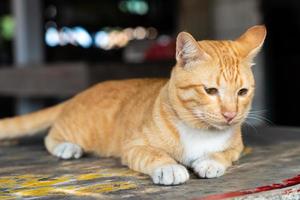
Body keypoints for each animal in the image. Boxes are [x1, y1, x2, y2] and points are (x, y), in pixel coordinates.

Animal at [0, 25, 268, 186]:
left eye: (242, 92)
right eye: (210, 91)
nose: (230, 115)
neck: (200, 130)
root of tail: (82, 92)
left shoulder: (237, 147)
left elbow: (223, 154)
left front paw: (210, 161)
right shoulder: (133, 146)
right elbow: (155, 154)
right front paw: (169, 167)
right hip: (77, 130)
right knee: (50, 136)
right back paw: (67, 147)